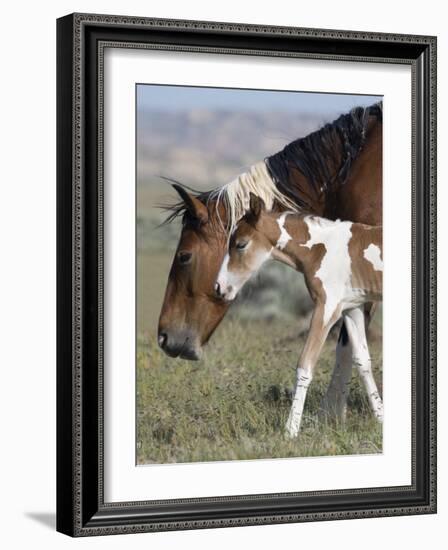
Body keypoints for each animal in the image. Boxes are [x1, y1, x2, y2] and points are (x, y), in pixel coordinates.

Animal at [215, 196, 384, 438]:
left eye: (241, 244)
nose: (219, 288)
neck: (321, 249)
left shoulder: (326, 308)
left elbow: (305, 364)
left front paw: (290, 430)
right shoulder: (352, 308)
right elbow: (362, 362)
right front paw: (381, 420)